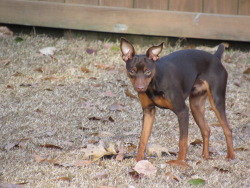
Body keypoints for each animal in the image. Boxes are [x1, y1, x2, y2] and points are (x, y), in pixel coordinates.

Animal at [120, 38, 235, 167]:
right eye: (132, 71)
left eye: (148, 72)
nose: (140, 88)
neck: (154, 83)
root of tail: (215, 57)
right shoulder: (149, 111)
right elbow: (143, 138)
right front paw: (139, 160)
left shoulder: (182, 111)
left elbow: (182, 140)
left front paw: (180, 162)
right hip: (195, 106)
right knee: (206, 129)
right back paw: (205, 156)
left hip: (216, 101)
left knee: (227, 129)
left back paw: (230, 156)